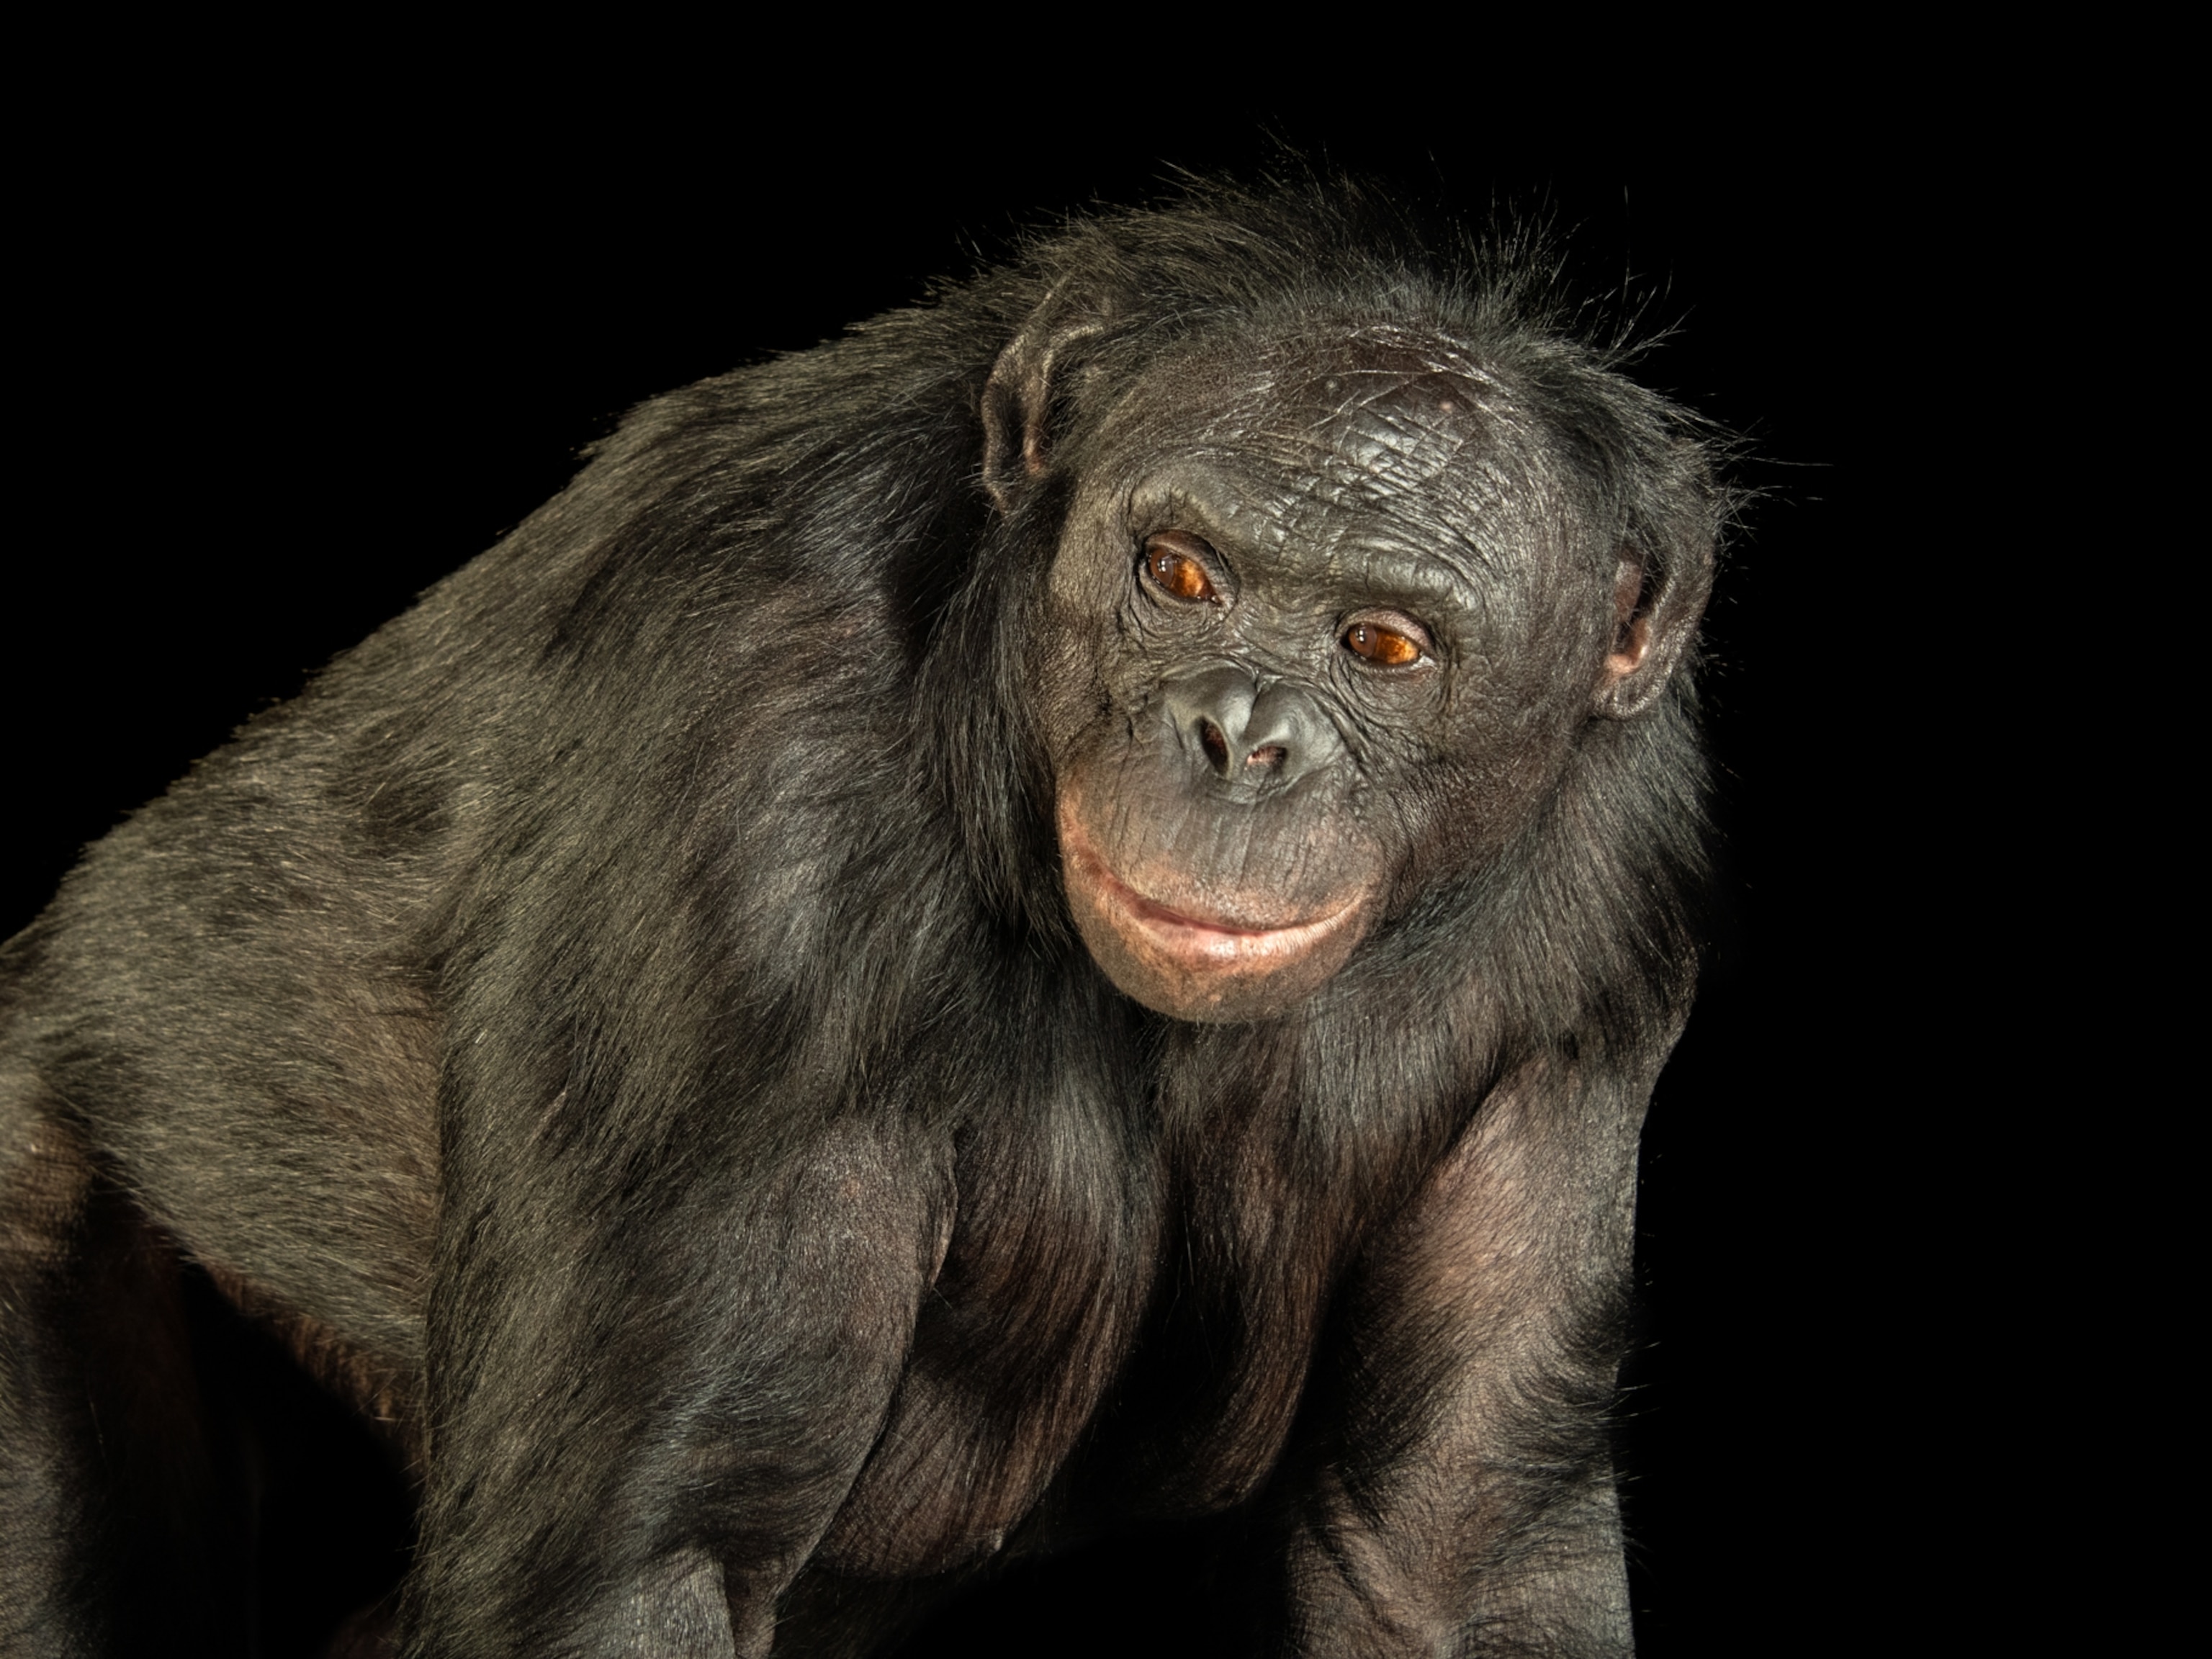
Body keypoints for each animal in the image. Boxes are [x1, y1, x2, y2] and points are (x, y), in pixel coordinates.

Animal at [0, 184, 1725, 1659]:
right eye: (1180, 572)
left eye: (1383, 644)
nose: (1241, 735)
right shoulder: (740, 779)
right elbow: (646, 1563)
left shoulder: (1611, 923)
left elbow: (1450, 1560)